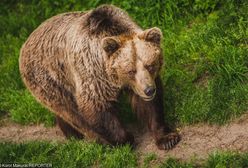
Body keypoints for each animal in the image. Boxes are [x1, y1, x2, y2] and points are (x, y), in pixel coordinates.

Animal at [18, 4, 179, 150]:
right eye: (130, 71)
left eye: (150, 65)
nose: (149, 90)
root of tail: (27, 40)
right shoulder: (93, 73)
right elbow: (96, 107)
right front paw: (125, 140)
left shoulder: (141, 83)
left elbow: (150, 106)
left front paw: (167, 138)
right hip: (49, 78)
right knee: (71, 112)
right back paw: (95, 139)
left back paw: (71, 134)